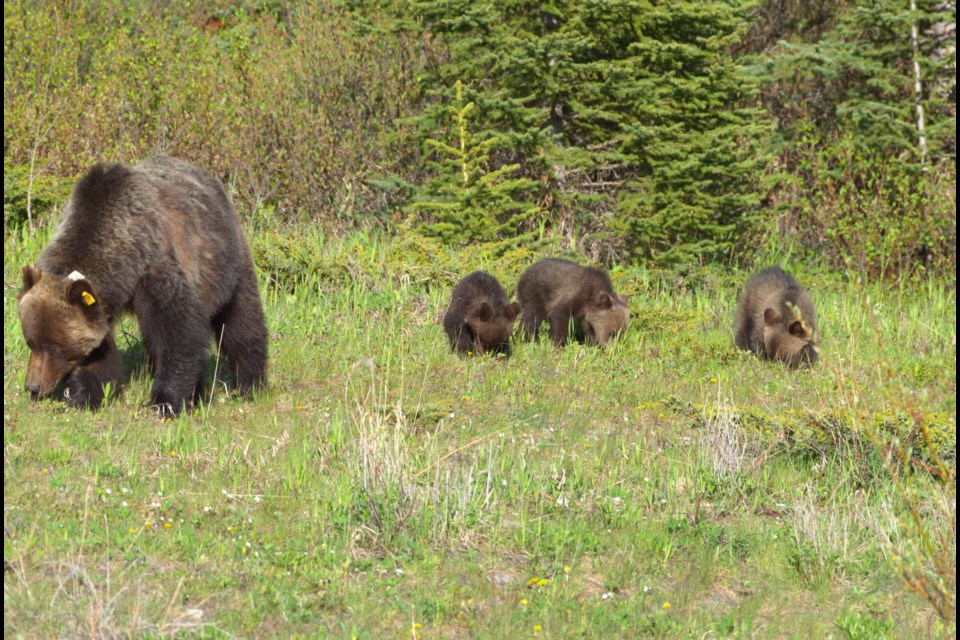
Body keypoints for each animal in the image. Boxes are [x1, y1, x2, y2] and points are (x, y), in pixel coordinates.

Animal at [18, 156, 266, 416]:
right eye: (30, 342)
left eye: (56, 347)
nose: (33, 387)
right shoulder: (100, 305)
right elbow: (99, 350)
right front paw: (83, 395)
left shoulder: (157, 272)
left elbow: (177, 332)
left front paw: (166, 401)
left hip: (229, 264)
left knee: (242, 322)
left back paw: (250, 385)